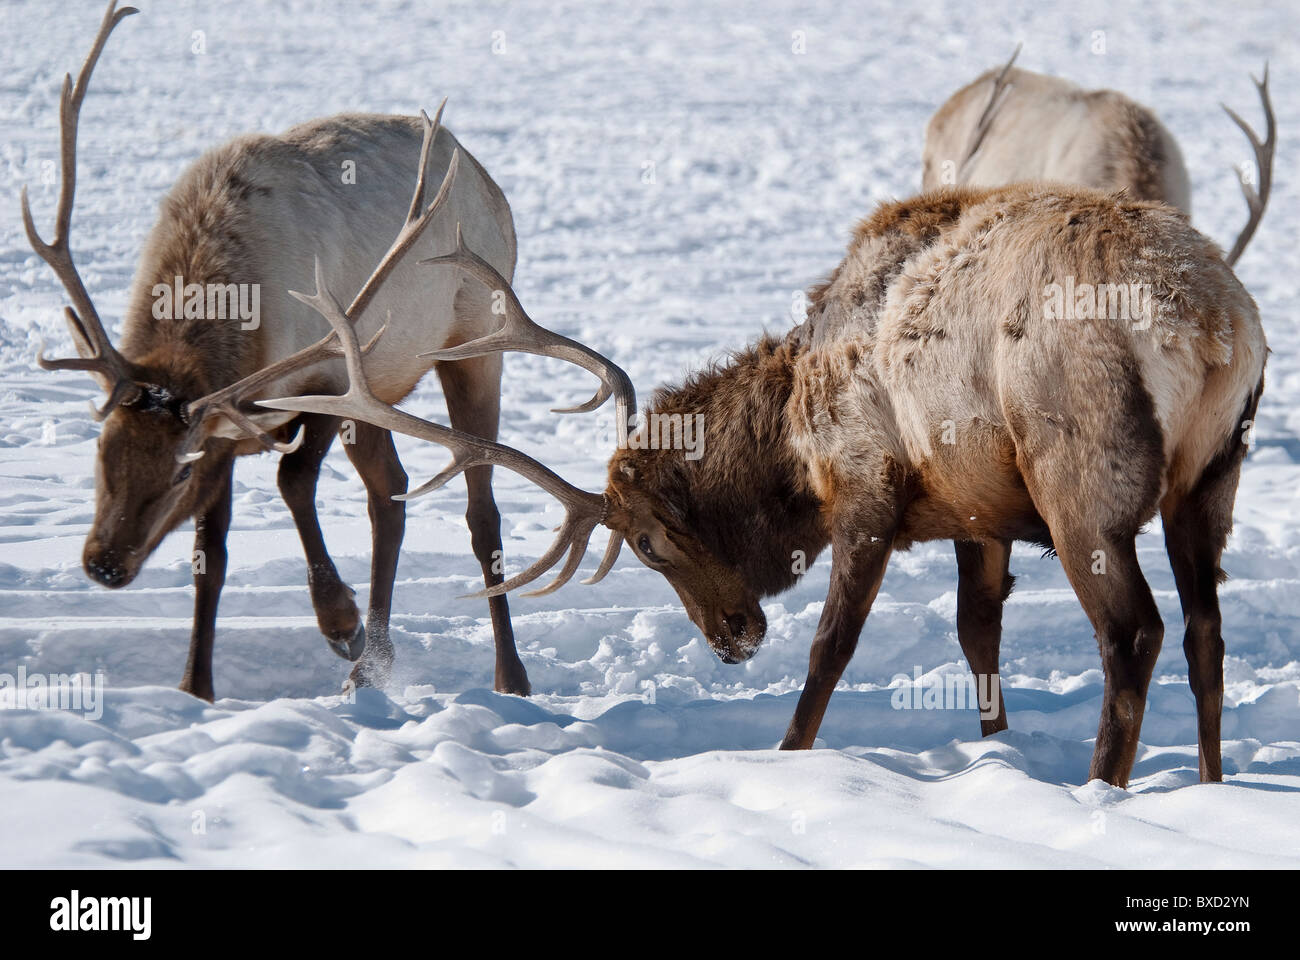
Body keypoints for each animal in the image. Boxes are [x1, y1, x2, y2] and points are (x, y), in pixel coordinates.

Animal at [20, 1, 629, 702]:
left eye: (177, 471)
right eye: (101, 451)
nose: (104, 563)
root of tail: (485, 177)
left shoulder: (327, 377)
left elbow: (291, 482)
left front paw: (340, 621)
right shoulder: (235, 424)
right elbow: (211, 551)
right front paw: (195, 687)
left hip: (475, 344)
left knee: (481, 510)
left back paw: (506, 674)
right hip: (384, 387)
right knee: (390, 494)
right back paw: (374, 665)